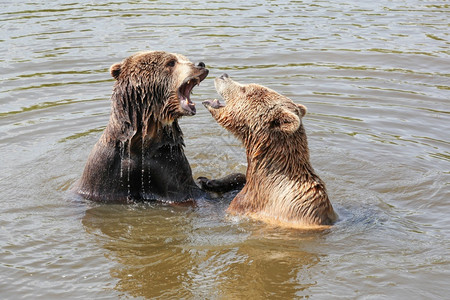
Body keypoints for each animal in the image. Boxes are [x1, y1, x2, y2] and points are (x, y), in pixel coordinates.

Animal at [73, 52, 246, 204]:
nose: (200, 64)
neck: (142, 141)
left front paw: (209, 180)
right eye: (171, 62)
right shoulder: (106, 169)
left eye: (184, 58)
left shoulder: (168, 160)